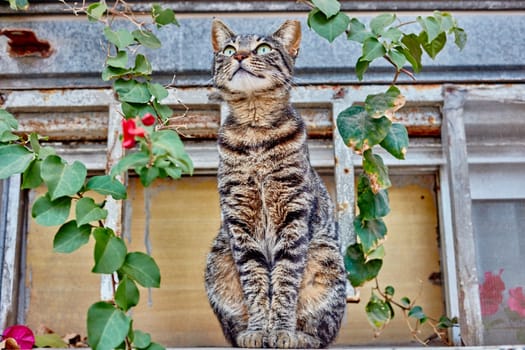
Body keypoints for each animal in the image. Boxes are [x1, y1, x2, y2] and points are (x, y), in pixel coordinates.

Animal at [205, 18, 348, 348]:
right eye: (228, 49)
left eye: (263, 48)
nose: (239, 55)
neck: (255, 132)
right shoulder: (239, 221)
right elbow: (256, 284)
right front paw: (259, 331)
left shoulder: (293, 217)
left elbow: (284, 283)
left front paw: (281, 331)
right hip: (217, 262)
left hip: (327, 260)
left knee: (322, 333)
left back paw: (300, 336)